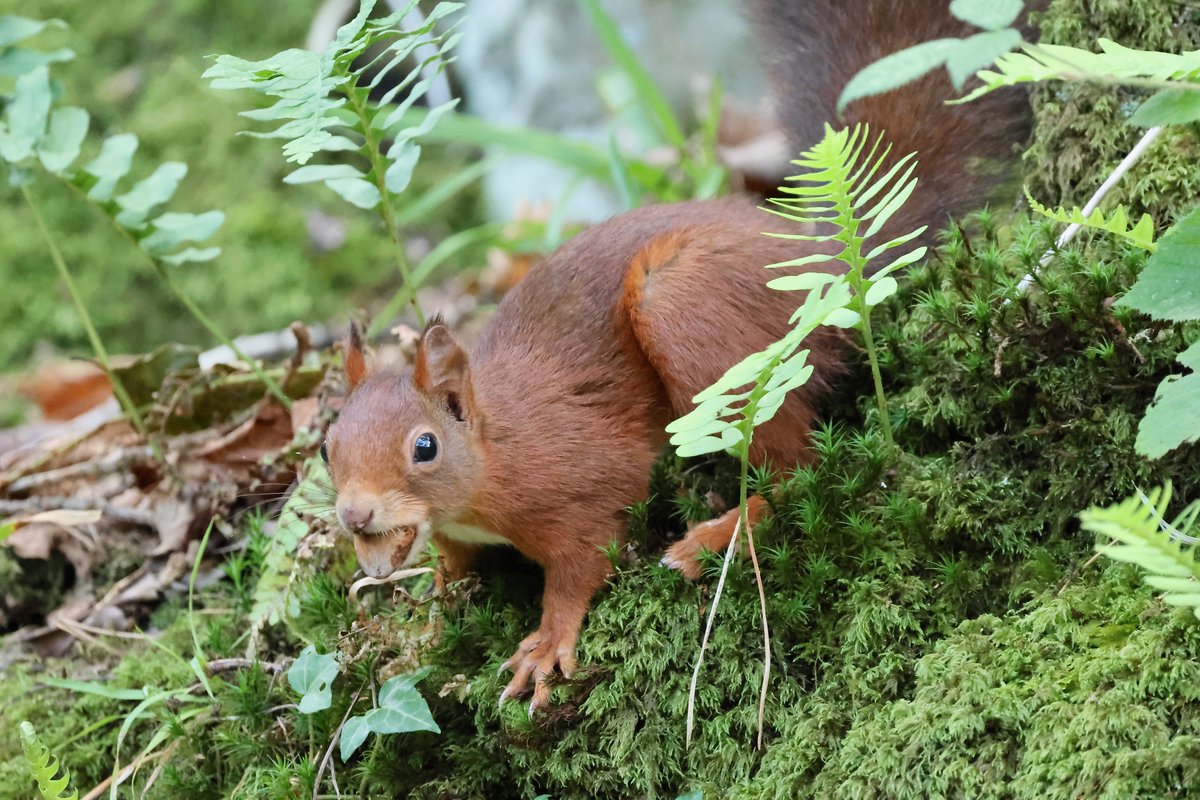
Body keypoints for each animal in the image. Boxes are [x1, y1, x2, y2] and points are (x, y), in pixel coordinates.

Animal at [322, 0, 1033, 713]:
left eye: (425, 447)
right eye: (328, 447)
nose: (354, 514)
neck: (495, 452)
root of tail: (827, 277)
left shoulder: (580, 481)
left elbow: (583, 561)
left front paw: (548, 641)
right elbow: (453, 564)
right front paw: (430, 603)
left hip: (688, 311)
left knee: (794, 468)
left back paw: (715, 538)